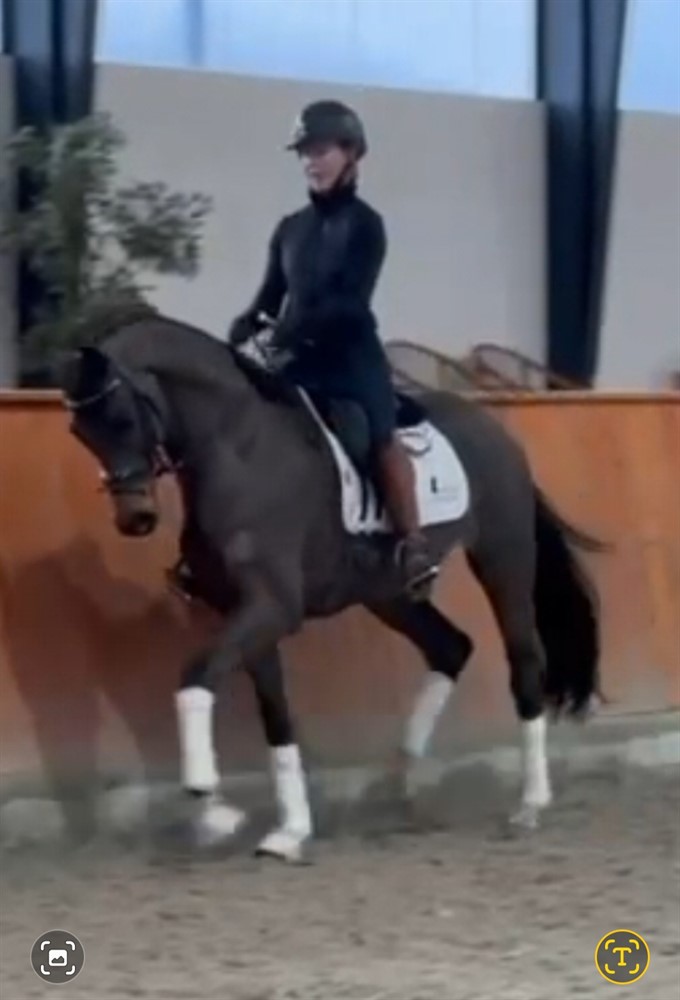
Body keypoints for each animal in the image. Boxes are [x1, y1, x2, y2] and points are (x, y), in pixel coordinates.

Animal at [57, 310, 604, 862]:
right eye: (80, 432)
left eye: (122, 420)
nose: (135, 518)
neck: (239, 447)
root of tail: (496, 431)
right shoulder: (248, 612)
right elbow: (275, 715)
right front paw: (287, 829)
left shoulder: (273, 607)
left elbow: (195, 676)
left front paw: (209, 800)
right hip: (388, 592)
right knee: (451, 647)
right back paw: (400, 777)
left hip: (502, 556)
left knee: (523, 659)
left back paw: (529, 804)